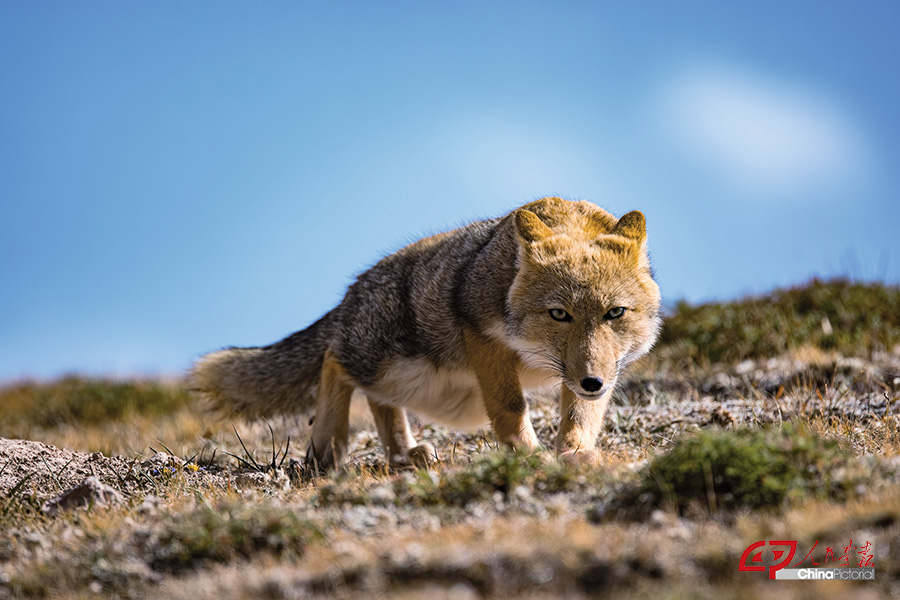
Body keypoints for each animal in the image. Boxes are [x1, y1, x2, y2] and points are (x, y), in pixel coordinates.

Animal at [192, 197, 660, 468]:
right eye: (559, 314)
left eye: (614, 313)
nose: (592, 382)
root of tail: (351, 292)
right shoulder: (482, 337)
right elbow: (511, 409)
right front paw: (529, 456)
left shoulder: (595, 373)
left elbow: (580, 415)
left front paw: (575, 453)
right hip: (391, 367)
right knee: (334, 360)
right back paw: (328, 447)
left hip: (425, 390)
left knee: (378, 401)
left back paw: (402, 453)